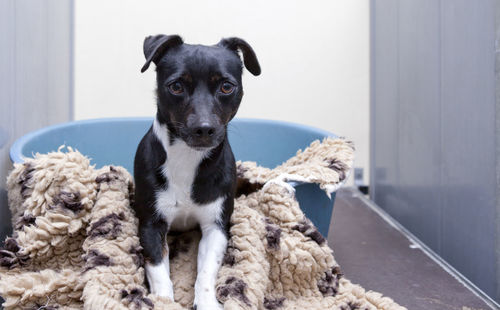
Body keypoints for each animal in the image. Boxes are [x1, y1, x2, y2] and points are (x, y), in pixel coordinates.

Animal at [134, 34, 262, 310]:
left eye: (226, 87)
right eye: (176, 86)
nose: (203, 129)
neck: (187, 159)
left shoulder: (216, 227)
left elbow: (206, 272)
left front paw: (207, 302)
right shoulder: (151, 225)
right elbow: (159, 271)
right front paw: (163, 301)